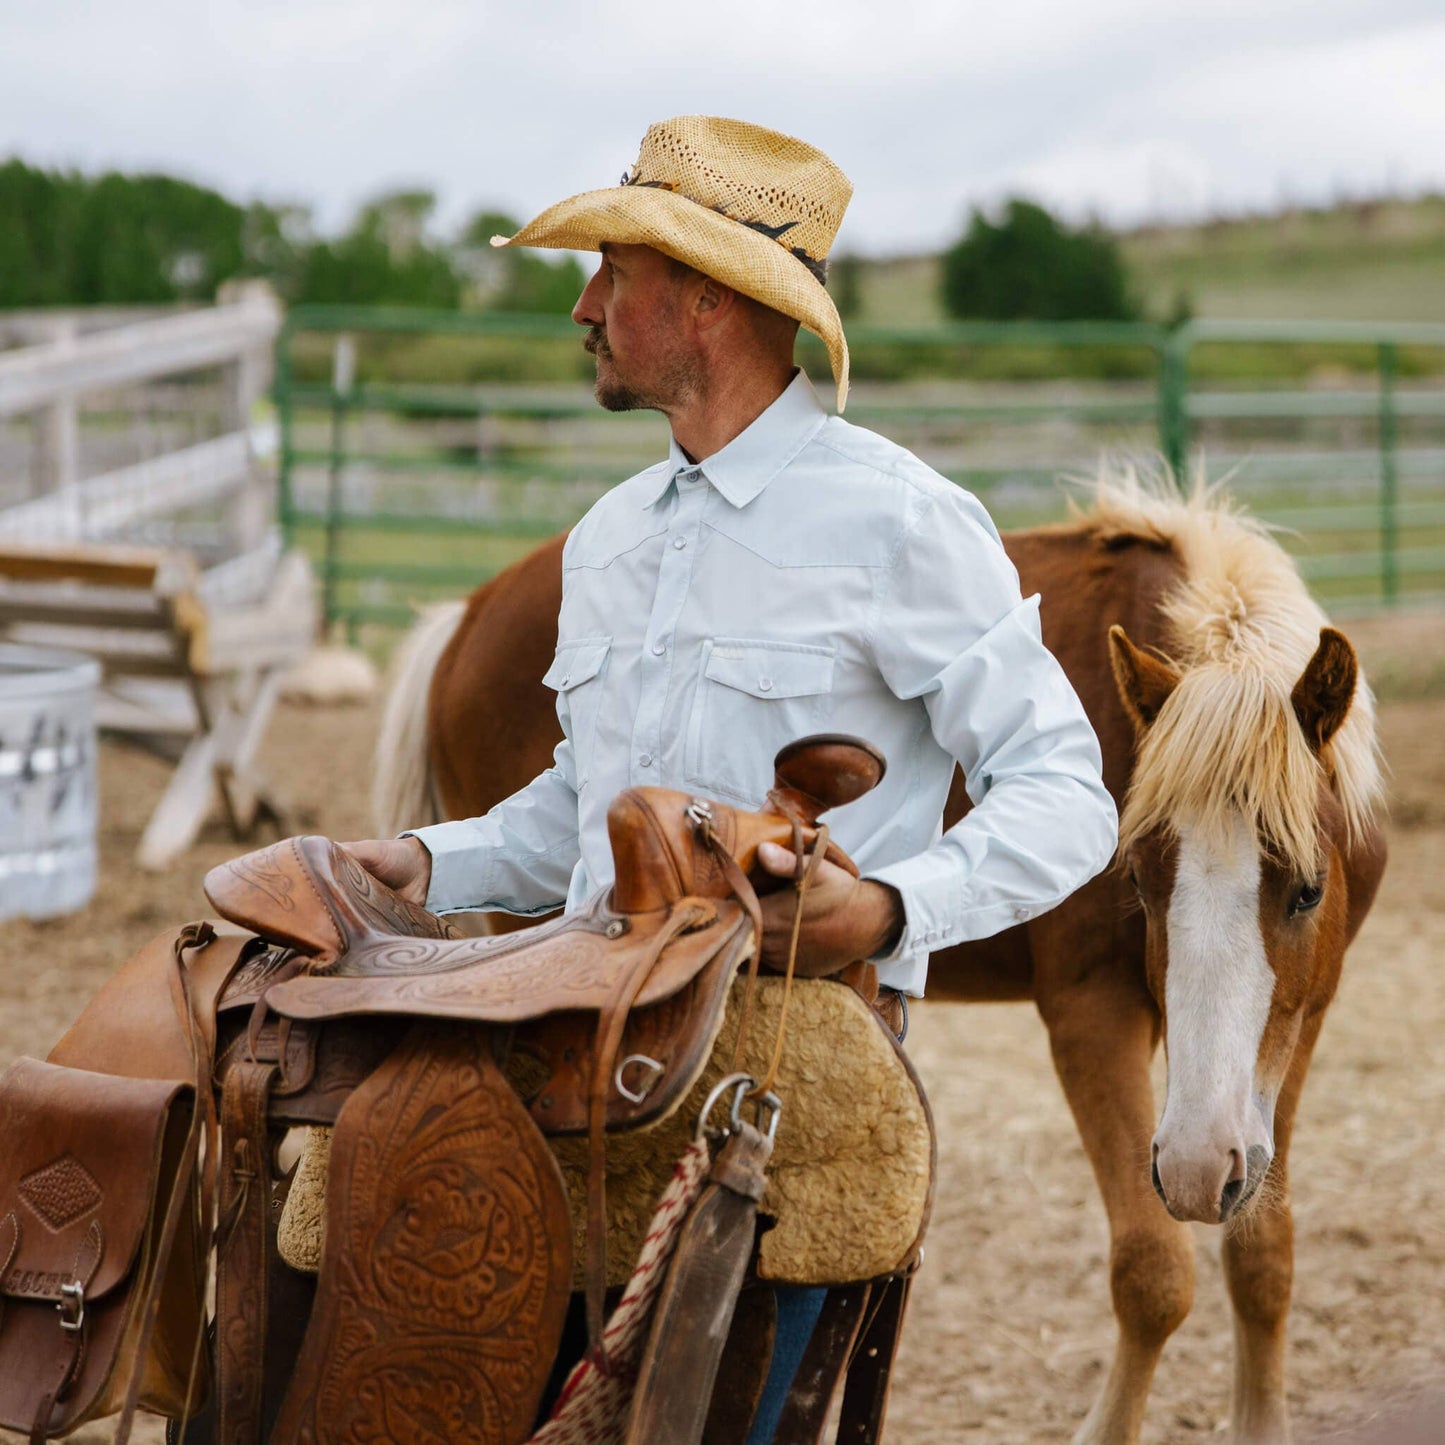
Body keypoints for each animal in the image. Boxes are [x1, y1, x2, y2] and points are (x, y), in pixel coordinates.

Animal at [375, 479, 1387, 1439]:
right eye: (1136, 878)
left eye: (1304, 889)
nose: (1195, 1166)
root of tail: (471, 612)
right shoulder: (1091, 1013)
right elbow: (1152, 1273)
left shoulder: (1301, 1020)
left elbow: (1261, 1254)